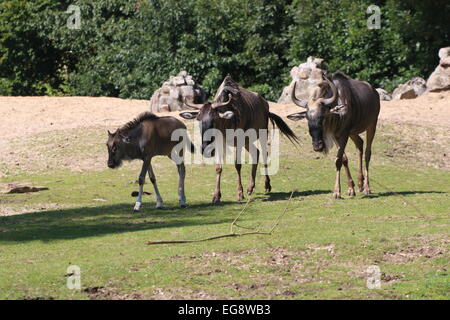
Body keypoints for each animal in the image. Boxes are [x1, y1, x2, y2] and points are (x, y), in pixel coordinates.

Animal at [288, 71, 380, 199]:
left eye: (322, 117)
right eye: (307, 118)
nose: (317, 146)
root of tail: (374, 92)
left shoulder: (344, 134)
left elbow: (338, 160)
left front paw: (336, 192)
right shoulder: (336, 135)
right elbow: (344, 159)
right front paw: (351, 189)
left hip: (372, 125)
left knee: (367, 152)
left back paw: (367, 187)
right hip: (353, 132)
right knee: (360, 144)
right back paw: (360, 183)